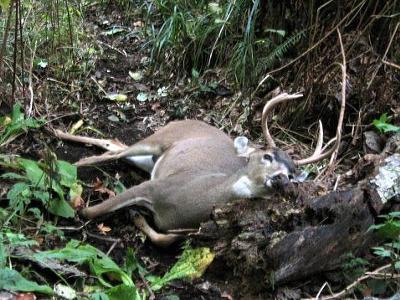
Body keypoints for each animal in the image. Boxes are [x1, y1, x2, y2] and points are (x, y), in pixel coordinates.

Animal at [54, 92, 346, 247]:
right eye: (267, 155)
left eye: (293, 174)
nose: (281, 179)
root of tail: (184, 119)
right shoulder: (156, 185)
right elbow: (93, 211)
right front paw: (80, 206)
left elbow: (165, 239)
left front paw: (137, 216)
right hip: (160, 138)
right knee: (116, 149)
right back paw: (67, 147)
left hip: (152, 159)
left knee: (113, 143)